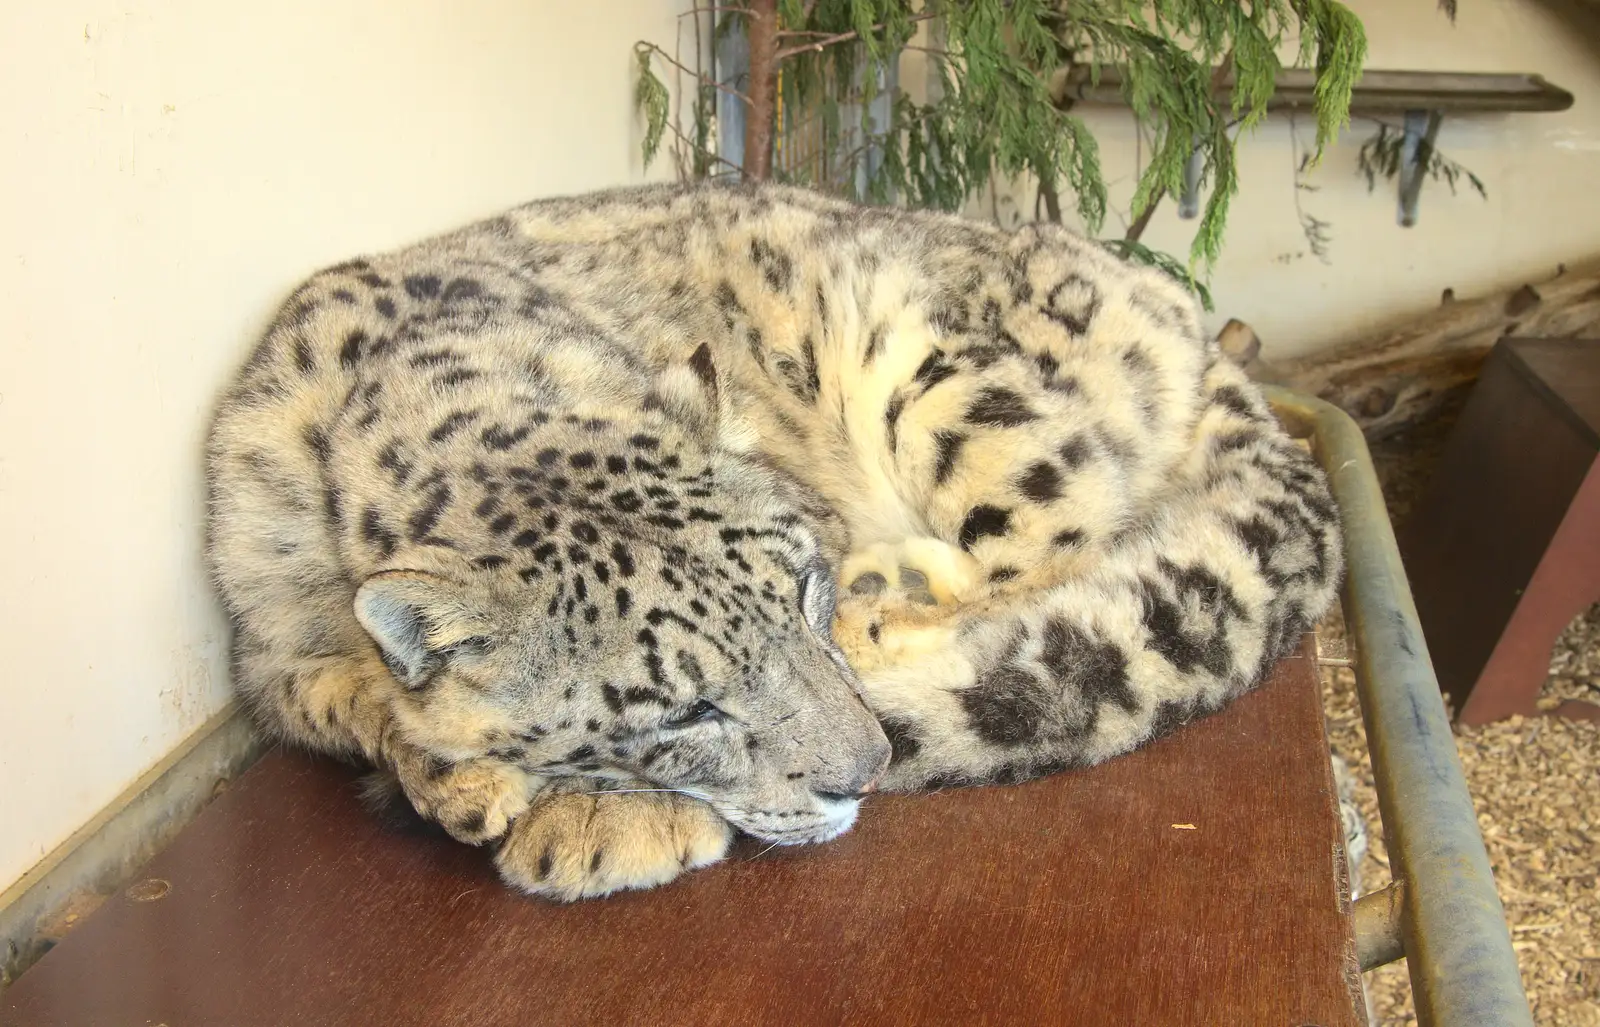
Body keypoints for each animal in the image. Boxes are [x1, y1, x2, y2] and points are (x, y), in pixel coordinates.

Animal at [206, 182, 1344, 895]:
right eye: (683, 707)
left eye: (798, 587)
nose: (864, 769)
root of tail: (1192, 324)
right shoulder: (269, 652)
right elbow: (343, 696)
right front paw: (461, 779)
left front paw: (596, 818)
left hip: (954, 381)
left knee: (1064, 538)